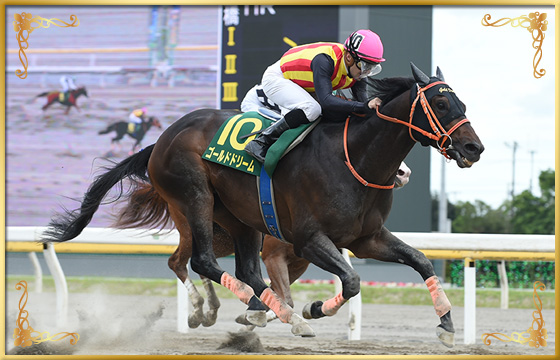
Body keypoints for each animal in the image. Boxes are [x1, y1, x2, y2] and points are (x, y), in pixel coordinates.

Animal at [41, 64, 484, 346]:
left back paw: (256, 310)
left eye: (461, 101)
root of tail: (164, 137)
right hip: (195, 197)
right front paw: (313, 310)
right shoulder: (308, 239)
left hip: (240, 217)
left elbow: (421, 262)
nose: (473, 148)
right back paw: (259, 311)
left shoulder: (367, 239)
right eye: (440, 104)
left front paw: (446, 325)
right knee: (202, 261)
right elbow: (353, 281)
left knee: (243, 271)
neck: (355, 158)